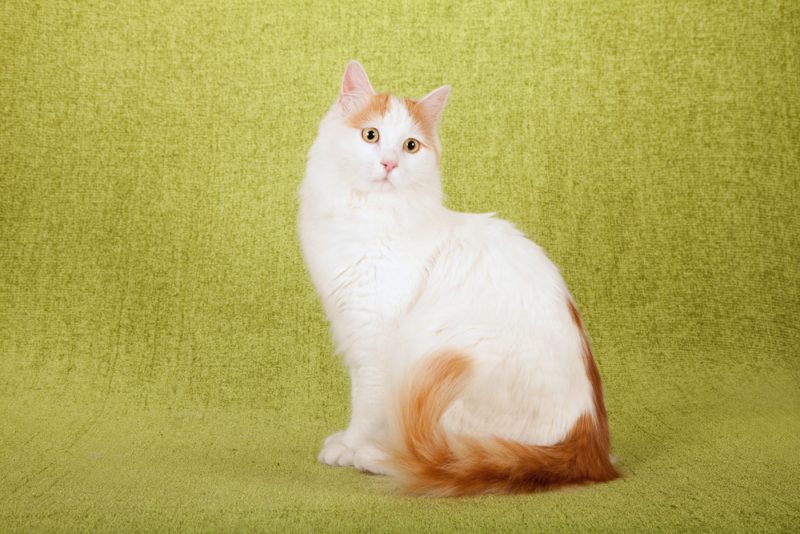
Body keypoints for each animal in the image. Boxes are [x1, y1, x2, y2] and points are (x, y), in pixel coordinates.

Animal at [298, 59, 620, 498]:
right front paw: (347, 442)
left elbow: (366, 406)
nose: (389, 164)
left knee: (436, 456)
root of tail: (591, 447)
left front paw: (351, 445)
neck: (369, 218)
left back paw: (377, 457)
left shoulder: (374, 340)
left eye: (410, 146)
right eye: (371, 135)